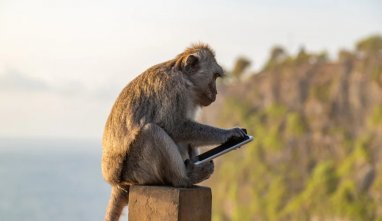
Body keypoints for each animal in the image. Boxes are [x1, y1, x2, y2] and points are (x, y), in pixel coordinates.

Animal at [100, 43, 248, 221]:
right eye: (215, 76)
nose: (216, 92)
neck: (184, 79)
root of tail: (118, 183)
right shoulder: (174, 90)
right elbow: (173, 126)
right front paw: (229, 134)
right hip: (137, 172)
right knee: (152, 131)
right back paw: (184, 178)